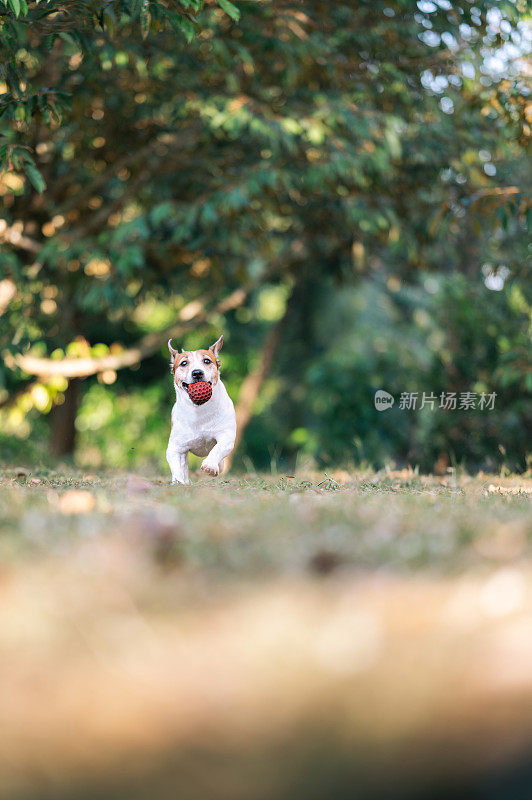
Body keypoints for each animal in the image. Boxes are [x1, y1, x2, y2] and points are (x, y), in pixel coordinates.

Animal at [164, 334, 235, 484]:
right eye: (184, 363)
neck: (200, 410)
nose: (197, 373)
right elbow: (177, 466)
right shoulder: (176, 447)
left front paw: (210, 466)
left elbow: (218, 448)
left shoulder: (226, 436)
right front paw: (179, 481)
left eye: (207, 361)